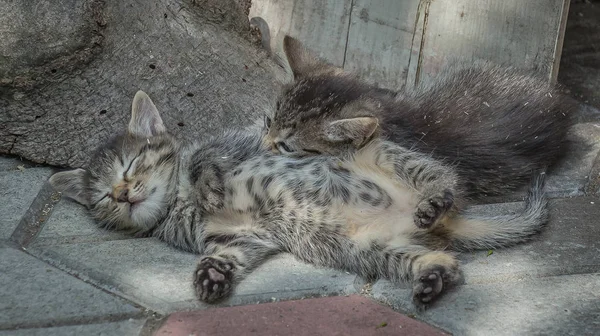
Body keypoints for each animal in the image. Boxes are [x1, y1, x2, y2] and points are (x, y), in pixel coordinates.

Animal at [49, 91, 548, 308]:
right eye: (102, 197)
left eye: (131, 165)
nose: (122, 194)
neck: (177, 202)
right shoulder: (239, 239)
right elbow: (226, 256)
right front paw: (212, 277)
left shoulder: (245, 141)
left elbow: (206, 158)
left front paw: (208, 181)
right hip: (369, 250)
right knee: (445, 263)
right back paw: (432, 278)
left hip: (379, 153)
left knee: (445, 177)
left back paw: (434, 200)